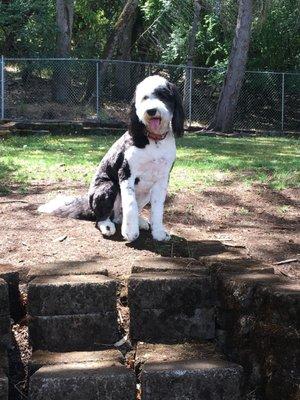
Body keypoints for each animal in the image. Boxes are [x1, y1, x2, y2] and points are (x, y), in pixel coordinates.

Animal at [38, 76, 184, 242]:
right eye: (144, 98)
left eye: (163, 95)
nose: (151, 111)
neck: (154, 140)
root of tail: (89, 205)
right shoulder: (126, 173)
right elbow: (130, 204)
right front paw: (130, 232)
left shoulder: (163, 179)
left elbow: (158, 208)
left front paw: (159, 233)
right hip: (108, 186)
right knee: (102, 217)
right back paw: (107, 226)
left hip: (145, 193)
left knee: (121, 215)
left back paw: (139, 222)